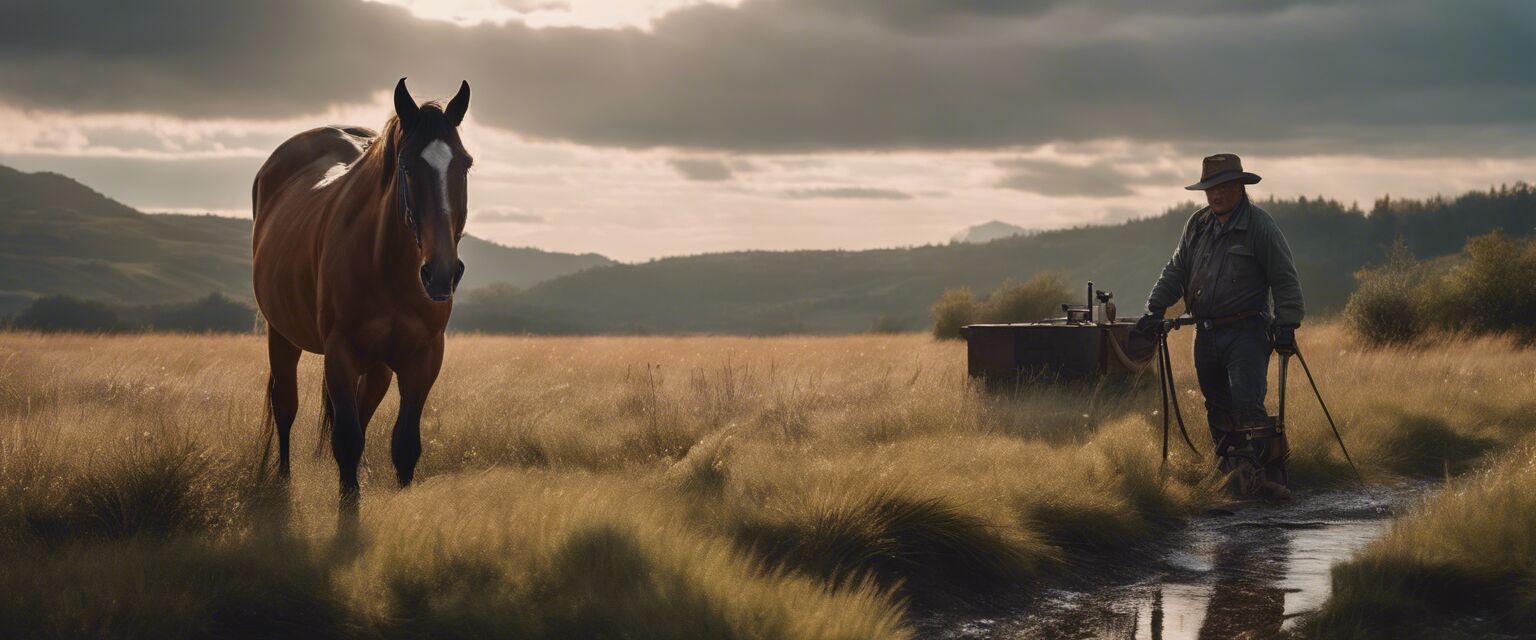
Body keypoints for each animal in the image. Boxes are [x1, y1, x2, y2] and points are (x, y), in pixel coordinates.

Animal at [251, 77, 473, 500]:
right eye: (406, 166)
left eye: (465, 164)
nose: (441, 274)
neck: (386, 266)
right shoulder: (340, 352)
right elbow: (347, 441)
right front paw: (348, 503)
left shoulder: (423, 358)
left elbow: (404, 445)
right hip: (282, 336)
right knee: (286, 406)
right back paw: (283, 479)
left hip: (378, 366)